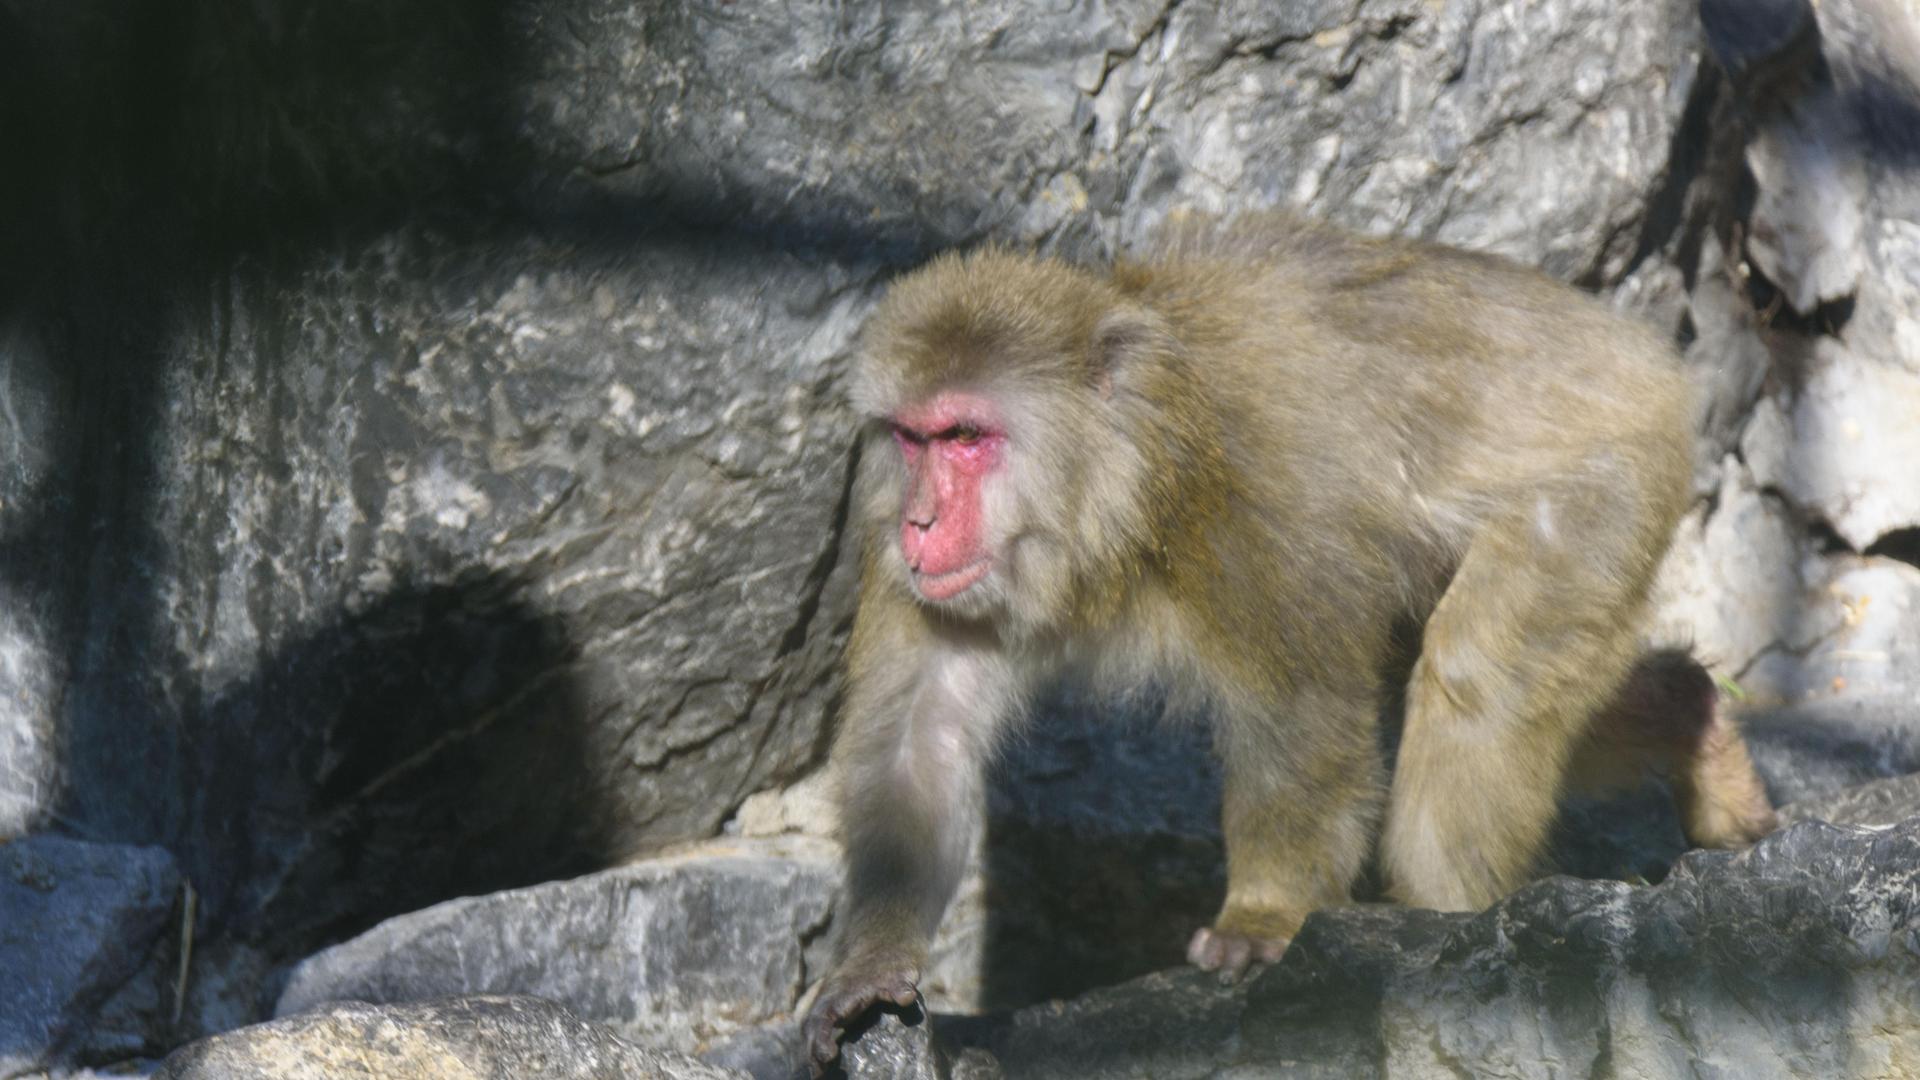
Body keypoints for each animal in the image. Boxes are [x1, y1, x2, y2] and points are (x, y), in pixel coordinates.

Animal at [802, 211, 1777, 1070]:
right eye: (912, 438)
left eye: (968, 437)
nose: (922, 523)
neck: (1128, 483)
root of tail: (1634, 350)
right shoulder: (902, 558)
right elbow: (918, 745)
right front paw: (870, 963)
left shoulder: (1260, 502)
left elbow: (1303, 723)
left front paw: (1265, 916)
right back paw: (1695, 718)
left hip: (1605, 476)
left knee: (1478, 677)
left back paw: (1463, 931)